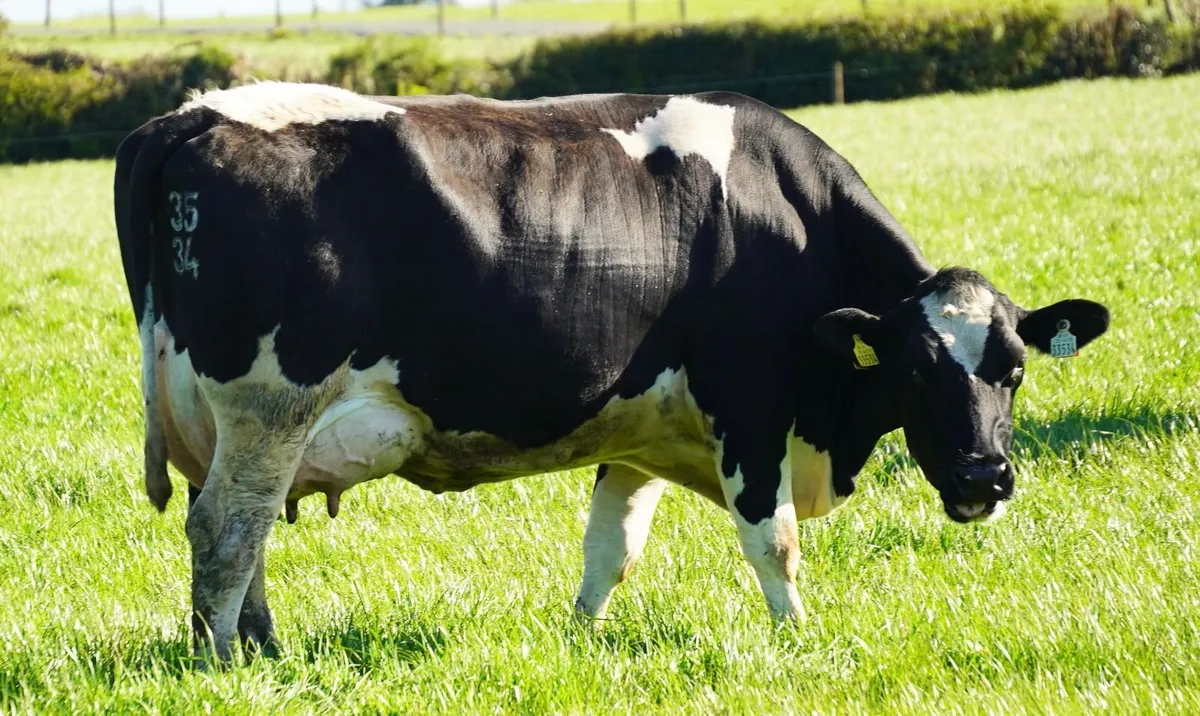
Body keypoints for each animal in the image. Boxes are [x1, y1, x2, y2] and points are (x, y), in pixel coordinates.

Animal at [114, 82, 1110, 661]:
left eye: (1014, 372)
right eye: (915, 372)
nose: (985, 477)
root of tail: (192, 113)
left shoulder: (639, 431)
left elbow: (612, 548)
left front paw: (578, 642)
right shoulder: (749, 408)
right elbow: (774, 540)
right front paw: (801, 639)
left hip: (232, 424)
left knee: (239, 535)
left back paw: (264, 649)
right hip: (270, 405)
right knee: (225, 535)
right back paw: (225, 666)